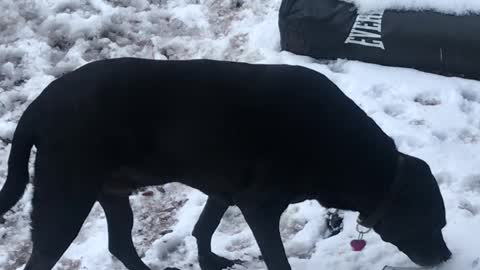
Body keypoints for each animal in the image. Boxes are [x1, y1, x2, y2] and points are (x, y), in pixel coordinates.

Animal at [0, 58, 450, 268]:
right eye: (431, 222)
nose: (446, 256)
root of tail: (36, 107)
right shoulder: (259, 205)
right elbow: (277, 259)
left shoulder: (225, 191)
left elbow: (203, 228)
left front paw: (210, 261)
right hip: (66, 199)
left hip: (111, 191)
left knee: (121, 244)